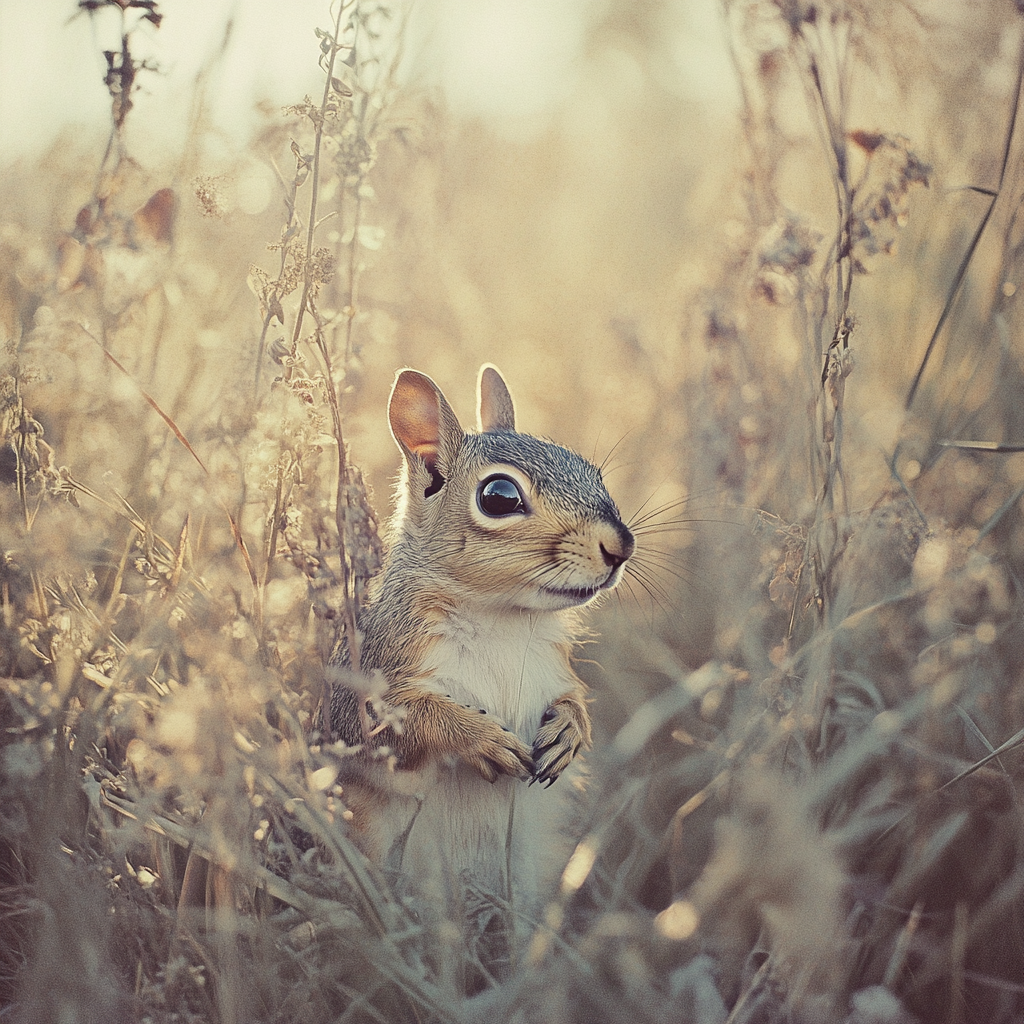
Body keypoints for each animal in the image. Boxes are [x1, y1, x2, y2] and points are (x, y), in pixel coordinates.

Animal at [327, 366, 630, 921]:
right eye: (499, 497)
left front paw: (570, 731)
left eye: (592, 471)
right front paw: (479, 738)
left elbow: (573, 697)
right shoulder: (371, 673)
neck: (501, 616)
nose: (622, 545)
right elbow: (383, 724)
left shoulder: (554, 667)